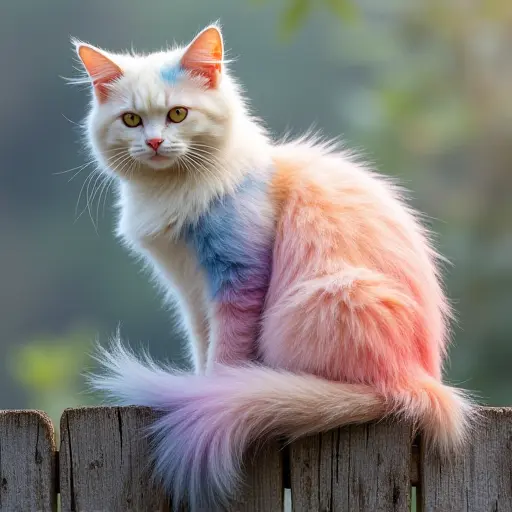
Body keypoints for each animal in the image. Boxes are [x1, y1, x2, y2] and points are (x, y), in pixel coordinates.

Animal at [75, 23, 476, 512]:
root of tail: (422, 379)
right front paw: (200, 384)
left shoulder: (239, 277)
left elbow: (226, 354)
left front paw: (212, 390)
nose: (153, 143)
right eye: (131, 120)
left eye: (177, 114)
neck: (173, 192)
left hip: (327, 299)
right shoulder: (190, 292)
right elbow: (202, 346)